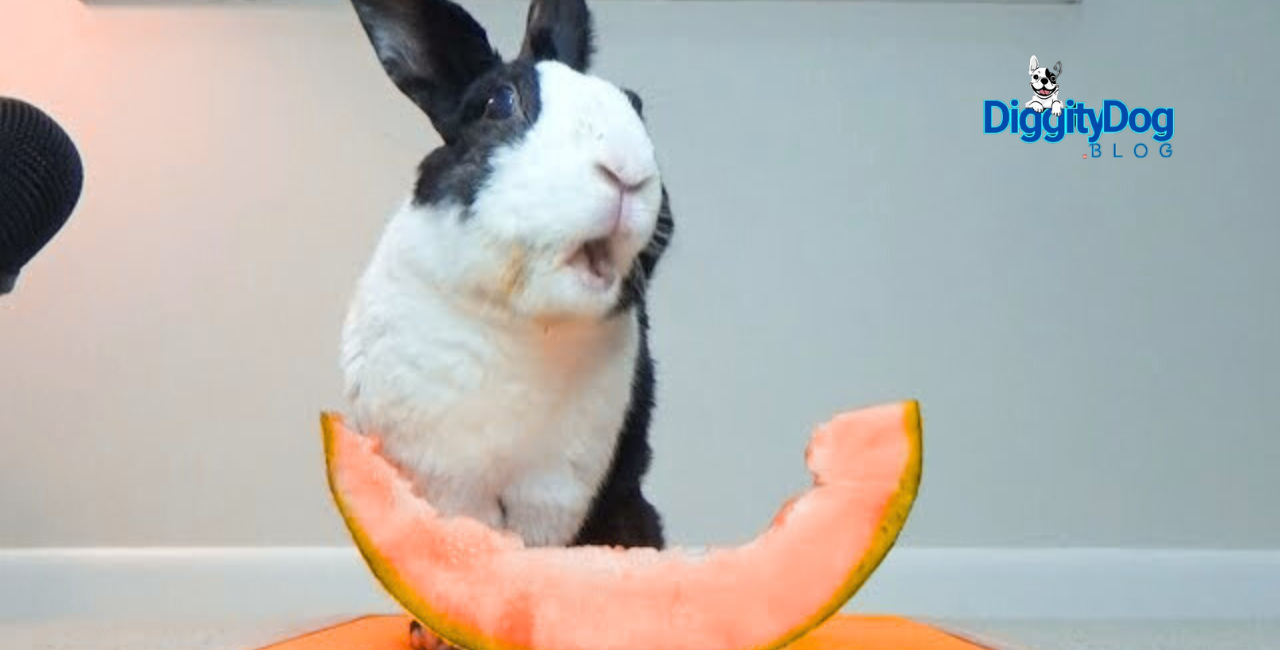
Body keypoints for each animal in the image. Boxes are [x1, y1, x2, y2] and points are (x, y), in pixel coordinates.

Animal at [338, 0, 674, 646]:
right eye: (499, 102)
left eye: (637, 104)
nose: (626, 172)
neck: (519, 322)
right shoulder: (440, 476)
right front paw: (443, 633)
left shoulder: (556, 487)